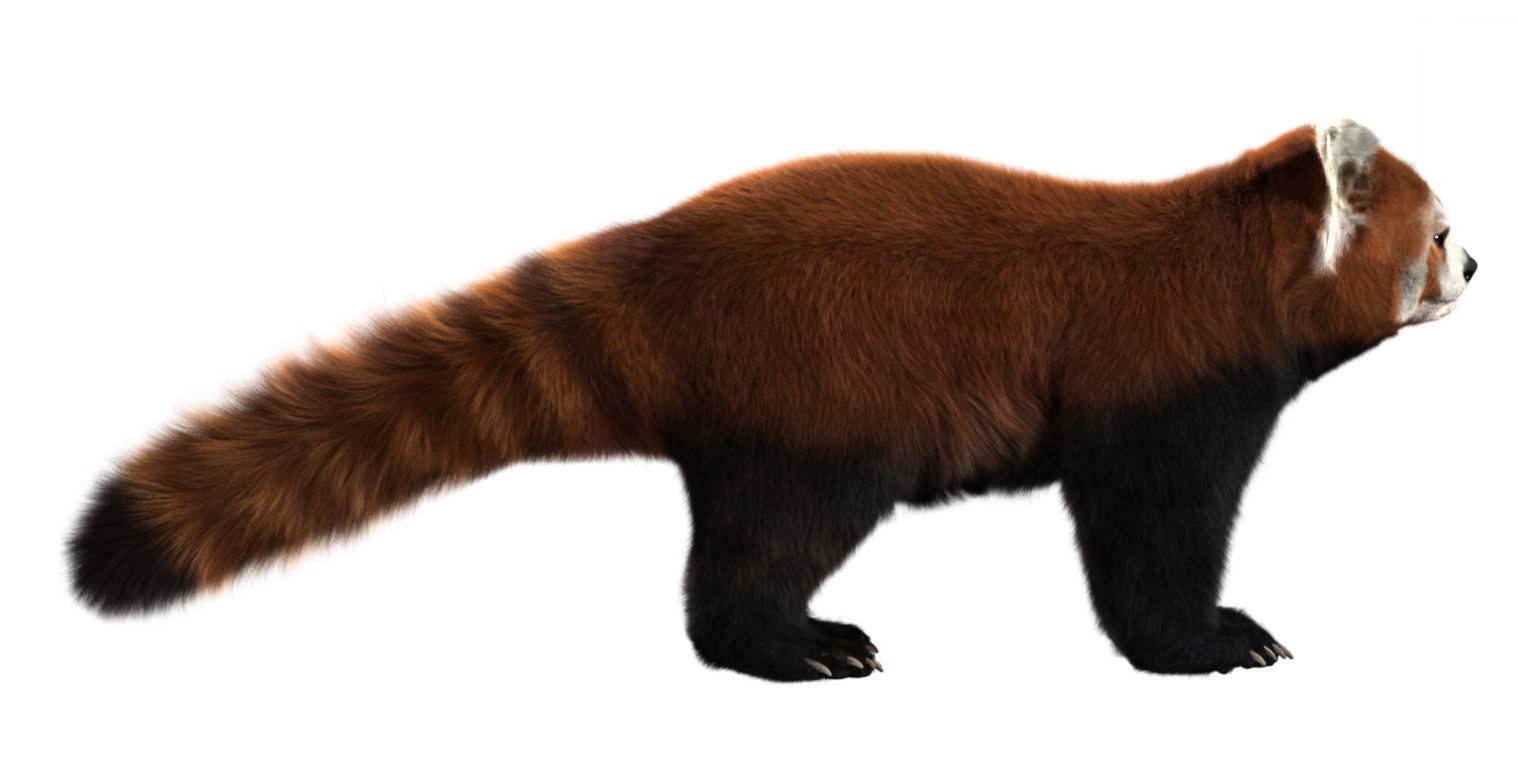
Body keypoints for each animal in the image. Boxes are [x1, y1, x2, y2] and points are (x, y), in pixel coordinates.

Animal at [69, 119, 1476, 680]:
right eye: (1444, 229)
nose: (1478, 267)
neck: (1222, 266)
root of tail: (655, 257)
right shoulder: (1161, 395)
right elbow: (1149, 543)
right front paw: (1209, 638)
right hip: (823, 399)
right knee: (765, 545)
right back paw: (798, 642)